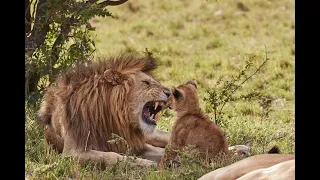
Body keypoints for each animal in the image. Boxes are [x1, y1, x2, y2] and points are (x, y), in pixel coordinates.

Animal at [37, 53, 171, 167]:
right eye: (146, 83)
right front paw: (146, 164)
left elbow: (162, 151)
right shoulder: (72, 152)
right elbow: (111, 156)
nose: (169, 93)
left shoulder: (132, 144)